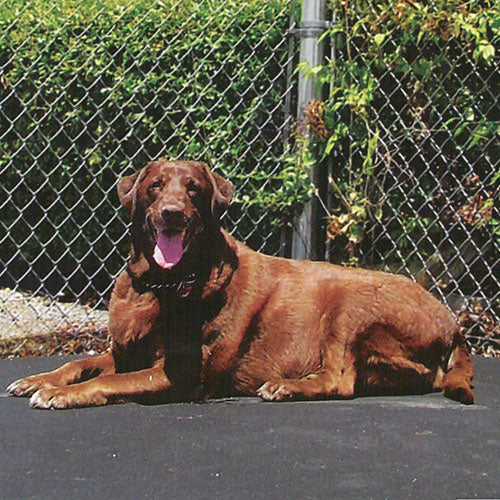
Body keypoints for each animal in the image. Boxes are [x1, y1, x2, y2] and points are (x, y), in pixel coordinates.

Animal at [8, 160, 476, 406]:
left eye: (193, 190)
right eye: (155, 186)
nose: (173, 214)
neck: (158, 285)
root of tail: (454, 325)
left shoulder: (180, 374)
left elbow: (106, 381)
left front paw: (63, 394)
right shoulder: (125, 352)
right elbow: (79, 363)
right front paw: (40, 379)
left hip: (349, 305)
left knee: (340, 381)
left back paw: (287, 386)